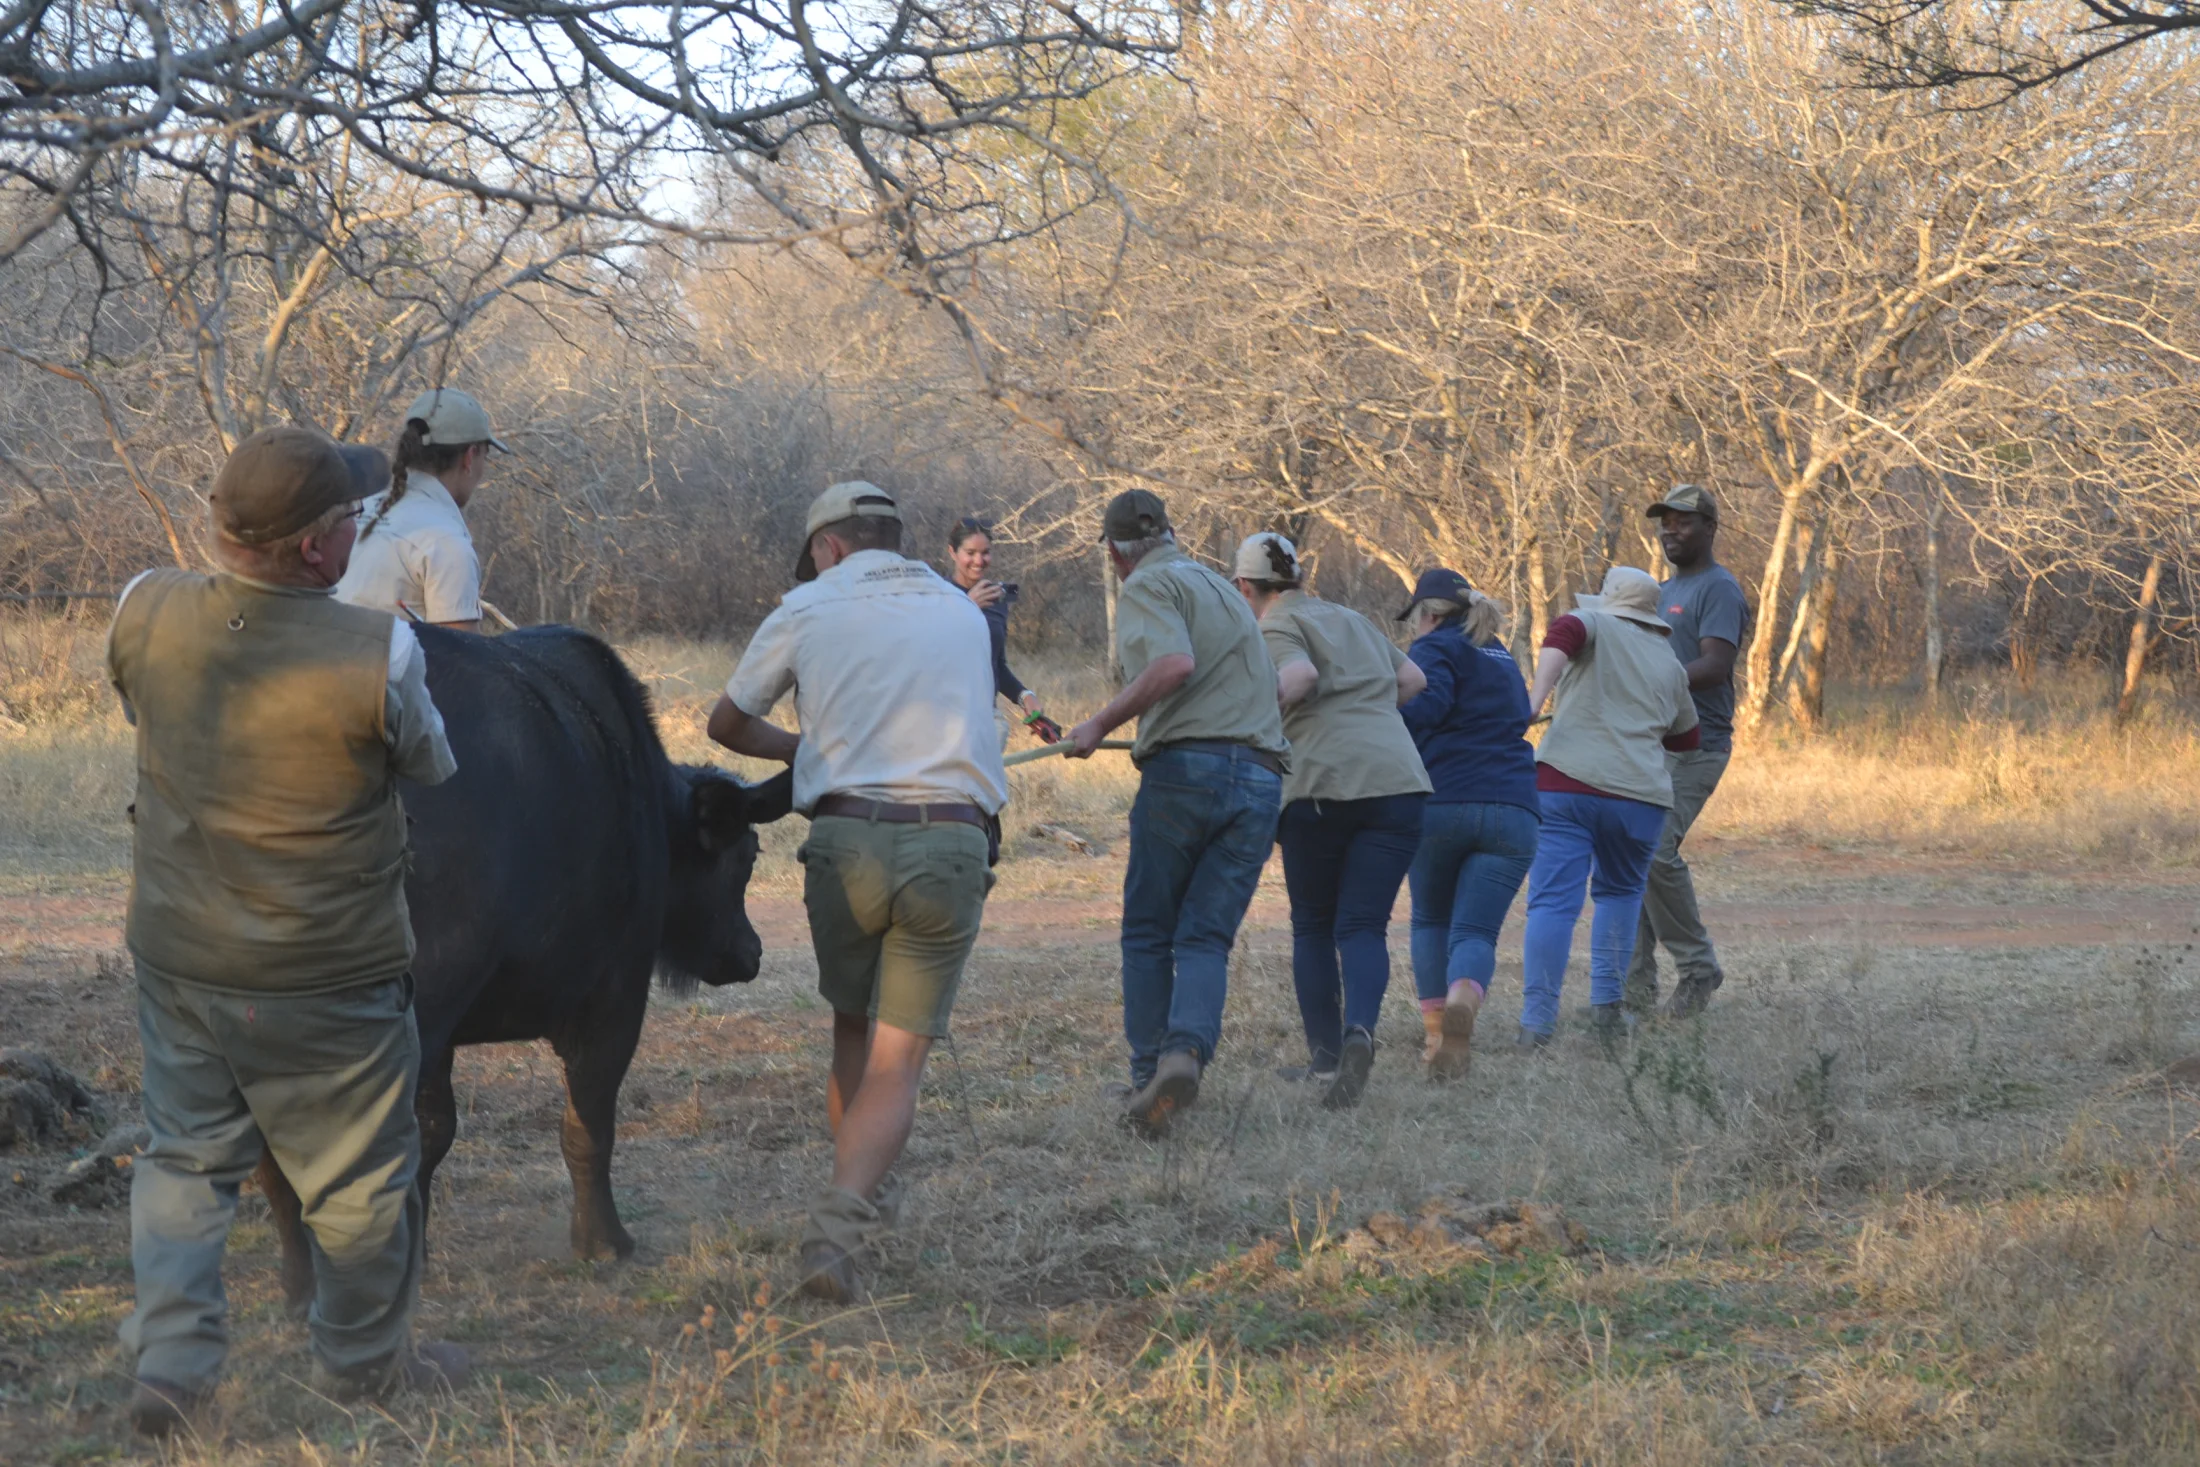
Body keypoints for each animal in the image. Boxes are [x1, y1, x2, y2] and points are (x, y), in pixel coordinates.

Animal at [257, 625, 792, 1303]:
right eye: (746, 856)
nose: (751, 951)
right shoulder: (612, 998)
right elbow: (587, 1124)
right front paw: (603, 1242)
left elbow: (436, 1128)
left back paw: (303, 1279)